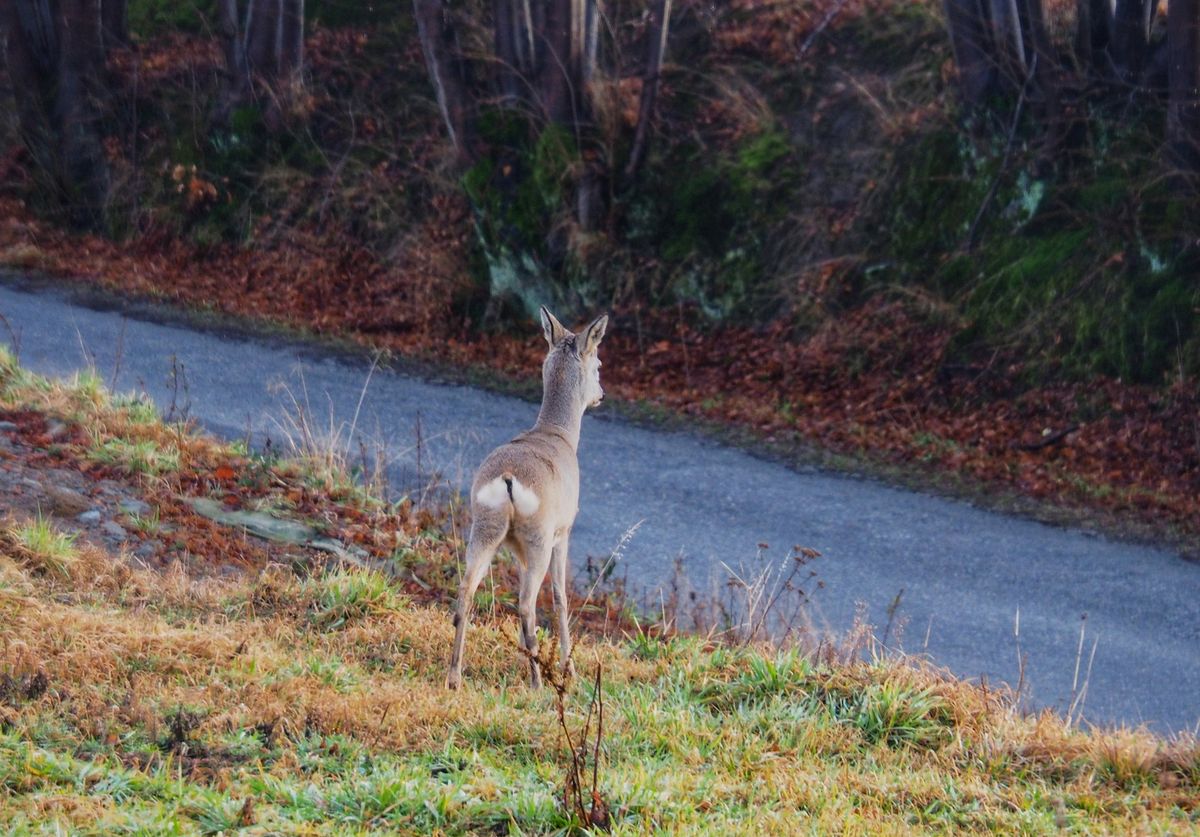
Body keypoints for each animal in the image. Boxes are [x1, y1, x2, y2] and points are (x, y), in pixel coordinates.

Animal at [444, 303, 604, 685]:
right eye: (599, 365)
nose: (601, 395)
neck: (558, 434)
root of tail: (507, 479)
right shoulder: (564, 531)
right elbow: (560, 596)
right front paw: (569, 668)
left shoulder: (517, 547)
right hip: (538, 534)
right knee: (528, 603)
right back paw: (538, 681)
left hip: (486, 526)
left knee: (467, 590)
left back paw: (455, 675)